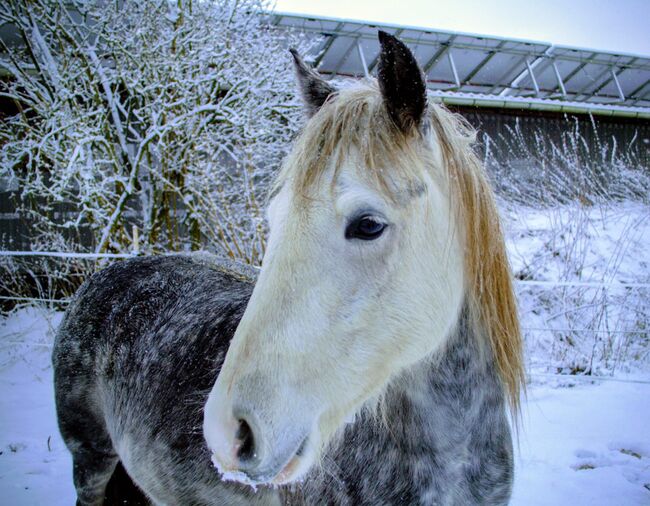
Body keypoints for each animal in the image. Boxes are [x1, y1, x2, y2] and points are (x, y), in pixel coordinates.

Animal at [53, 31, 524, 505]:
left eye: (369, 225)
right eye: (275, 218)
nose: (228, 432)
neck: (450, 453)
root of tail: (106, 276)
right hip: (90, 461)